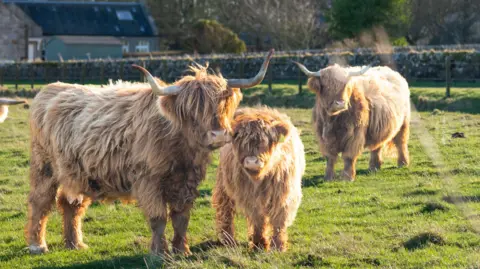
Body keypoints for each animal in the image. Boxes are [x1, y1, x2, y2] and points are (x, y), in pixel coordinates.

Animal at [25, 49, 274, 254]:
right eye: (192, 109)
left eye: (223, 104)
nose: (219, 135)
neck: (179, 149)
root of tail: (50, 89)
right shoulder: (148, 180)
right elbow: (158, 217)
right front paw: (159, 252)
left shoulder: (187, 181)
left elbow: (181, 217)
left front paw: (181, 250)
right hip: (44, 165)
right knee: (40, 201)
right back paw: (38, 245)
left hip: (80, 172)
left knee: (70, 204)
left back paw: (75, 243)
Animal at [213, 106, 304, 251]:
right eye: (239, 139)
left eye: (266, 140)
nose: (252, 162)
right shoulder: (250, 197)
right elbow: (258, 219)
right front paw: (259, 243)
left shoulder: (283, 194)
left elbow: (279, 219)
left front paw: (278, 245)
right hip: (224, 184)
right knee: (225, 209)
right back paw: (228, 239)